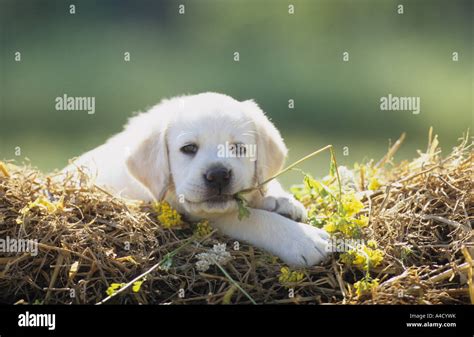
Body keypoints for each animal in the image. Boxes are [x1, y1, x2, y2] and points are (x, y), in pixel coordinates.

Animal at [65, 92, 330, 266]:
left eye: (238, 148)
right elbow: (247, 218)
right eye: (189, 148)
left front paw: (280, 199)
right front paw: (301, 239)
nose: (219, 175)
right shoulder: (189, 211)